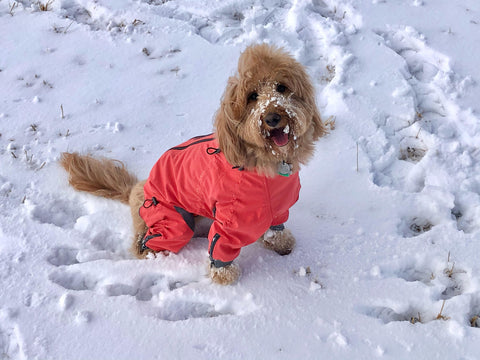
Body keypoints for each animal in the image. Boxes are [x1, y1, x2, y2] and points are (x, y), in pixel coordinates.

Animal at [58, 43, 324, 284]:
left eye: (281, 87)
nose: (272, 117)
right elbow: (221, 248)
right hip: (172, 223)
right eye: (252, 97)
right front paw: (224, 276)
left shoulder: (278, 207)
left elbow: (276, 228)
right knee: (143, 245)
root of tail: (136, 188)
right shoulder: (228, 221)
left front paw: (281, 244)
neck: (267, 165)